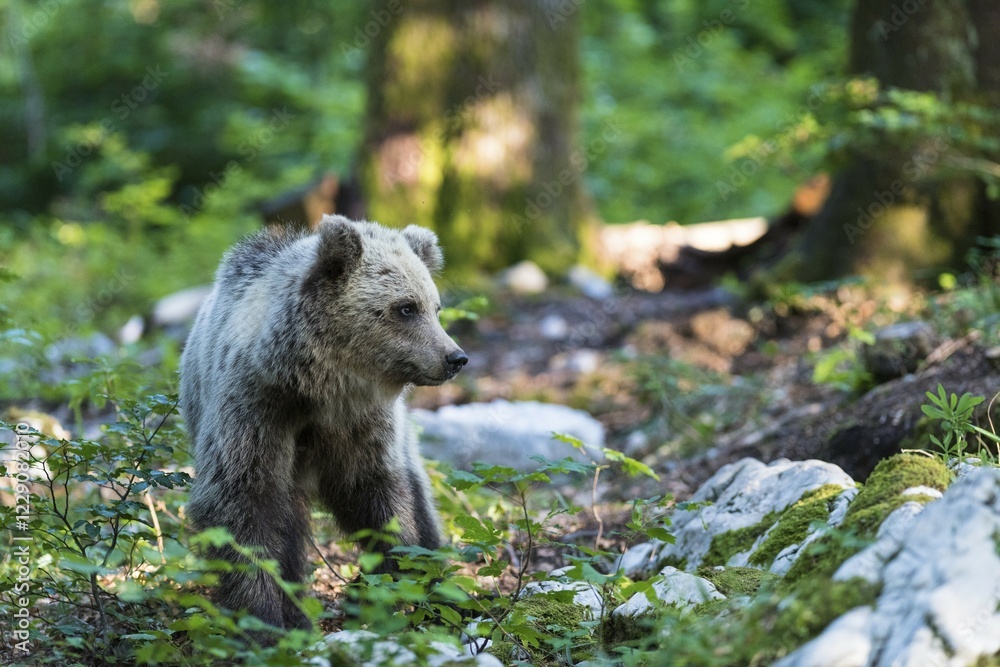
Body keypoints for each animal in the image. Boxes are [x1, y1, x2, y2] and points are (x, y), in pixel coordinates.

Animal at [179, 215, 468, 633]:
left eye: (436, 306)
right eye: (406, 308)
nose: (455, 357)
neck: (316, 386)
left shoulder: (362, 423)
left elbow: (378, 498)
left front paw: (393, 577)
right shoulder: (255, 409)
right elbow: (242, 503)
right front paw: (264, 619)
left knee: (420, 498)